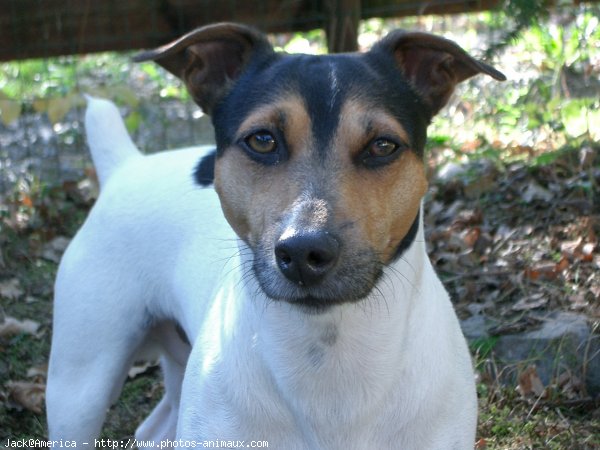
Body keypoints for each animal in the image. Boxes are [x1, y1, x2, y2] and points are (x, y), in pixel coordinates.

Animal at [47, 22, 504, 450]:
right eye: (263, 140)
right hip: (80, 385)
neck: (327, 352)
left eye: (383, 145)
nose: (304, 251)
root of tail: (125, 166)